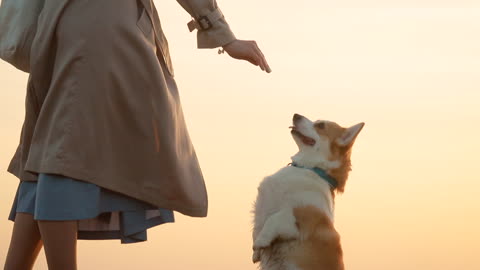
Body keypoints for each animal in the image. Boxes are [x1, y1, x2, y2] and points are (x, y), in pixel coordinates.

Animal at [251, 113, 364, 268]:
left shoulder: (293, 222)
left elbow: (272, 220)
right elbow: (256, 229)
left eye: (321, 125)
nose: (296, 115)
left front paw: (260, 241)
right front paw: (256, 253)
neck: (310, 169)